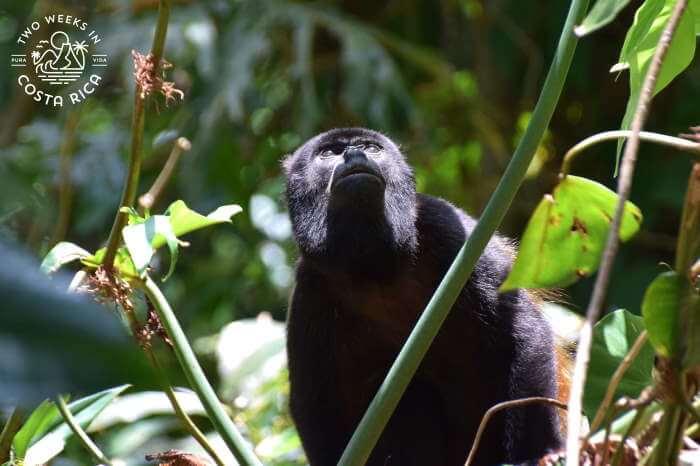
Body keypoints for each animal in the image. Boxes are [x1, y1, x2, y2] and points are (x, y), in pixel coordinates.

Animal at [283, 127, 564, 466]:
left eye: (370, 148)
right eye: (328, 153)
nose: (353, 154)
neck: (374, 271)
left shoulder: (446, 225)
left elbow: (524, 330)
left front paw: (540, 452)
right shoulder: (310, 290)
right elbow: (316, 406)